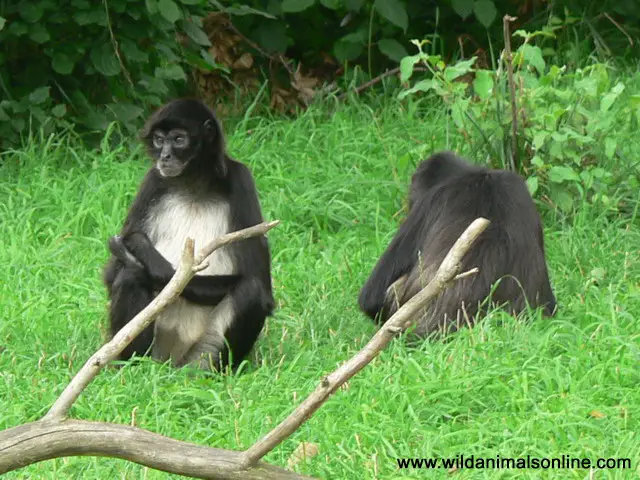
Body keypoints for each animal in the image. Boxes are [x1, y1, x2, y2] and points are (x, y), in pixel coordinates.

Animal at [104, 97, 274, 372]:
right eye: (159, 140)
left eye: (178, 139)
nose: (165, 156)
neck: (193, 185)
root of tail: (169, 364)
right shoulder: (153, 180)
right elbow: (111, 274)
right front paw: (137, 258)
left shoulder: (241, 179)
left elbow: (260, 283)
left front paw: (148, 260)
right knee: (128, 277)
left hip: (200, 356)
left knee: (253, 290)